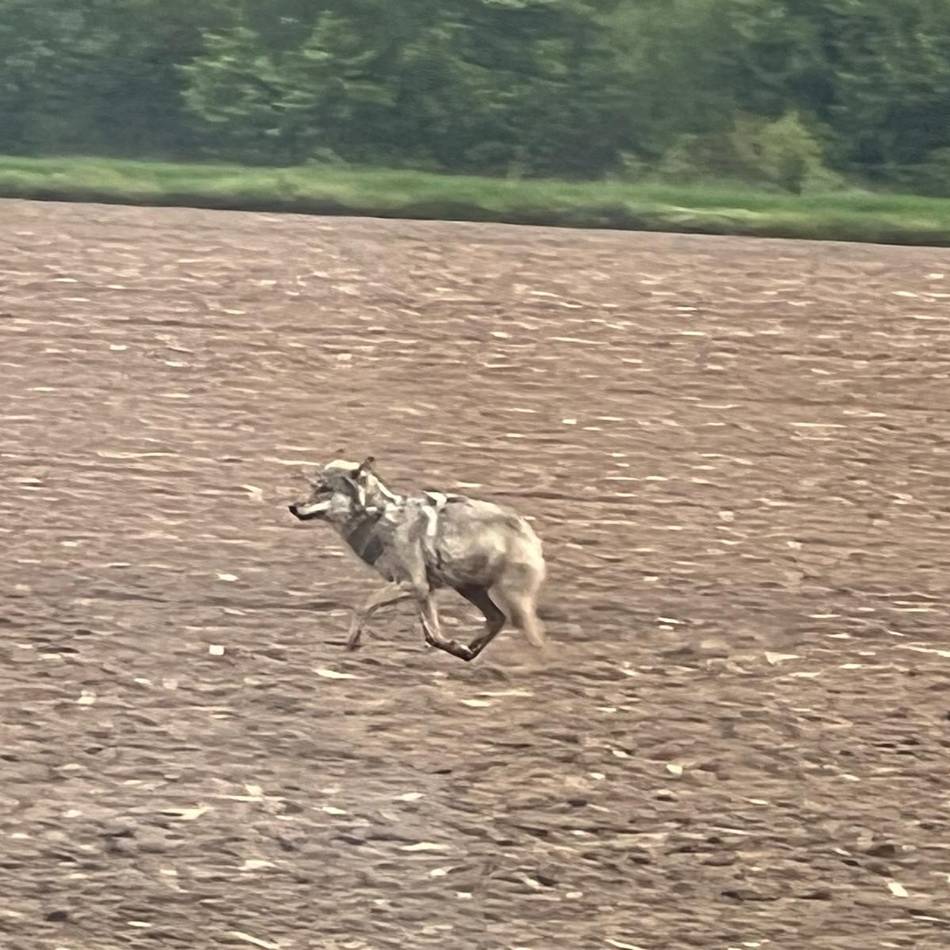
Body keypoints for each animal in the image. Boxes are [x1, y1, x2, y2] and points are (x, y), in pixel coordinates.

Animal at [288, 457, 546, 662]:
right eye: (312, 486)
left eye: (324, 489)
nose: (292, 507)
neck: (379, 516)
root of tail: (526, 528)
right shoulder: (423, 591)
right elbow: (432, 635)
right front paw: (456, 648)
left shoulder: (414, 584)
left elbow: (363, 607)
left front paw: (351, 645)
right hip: (469, 589)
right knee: (497, 619)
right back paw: (471, 651)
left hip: (509, 600)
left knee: (535, 638)